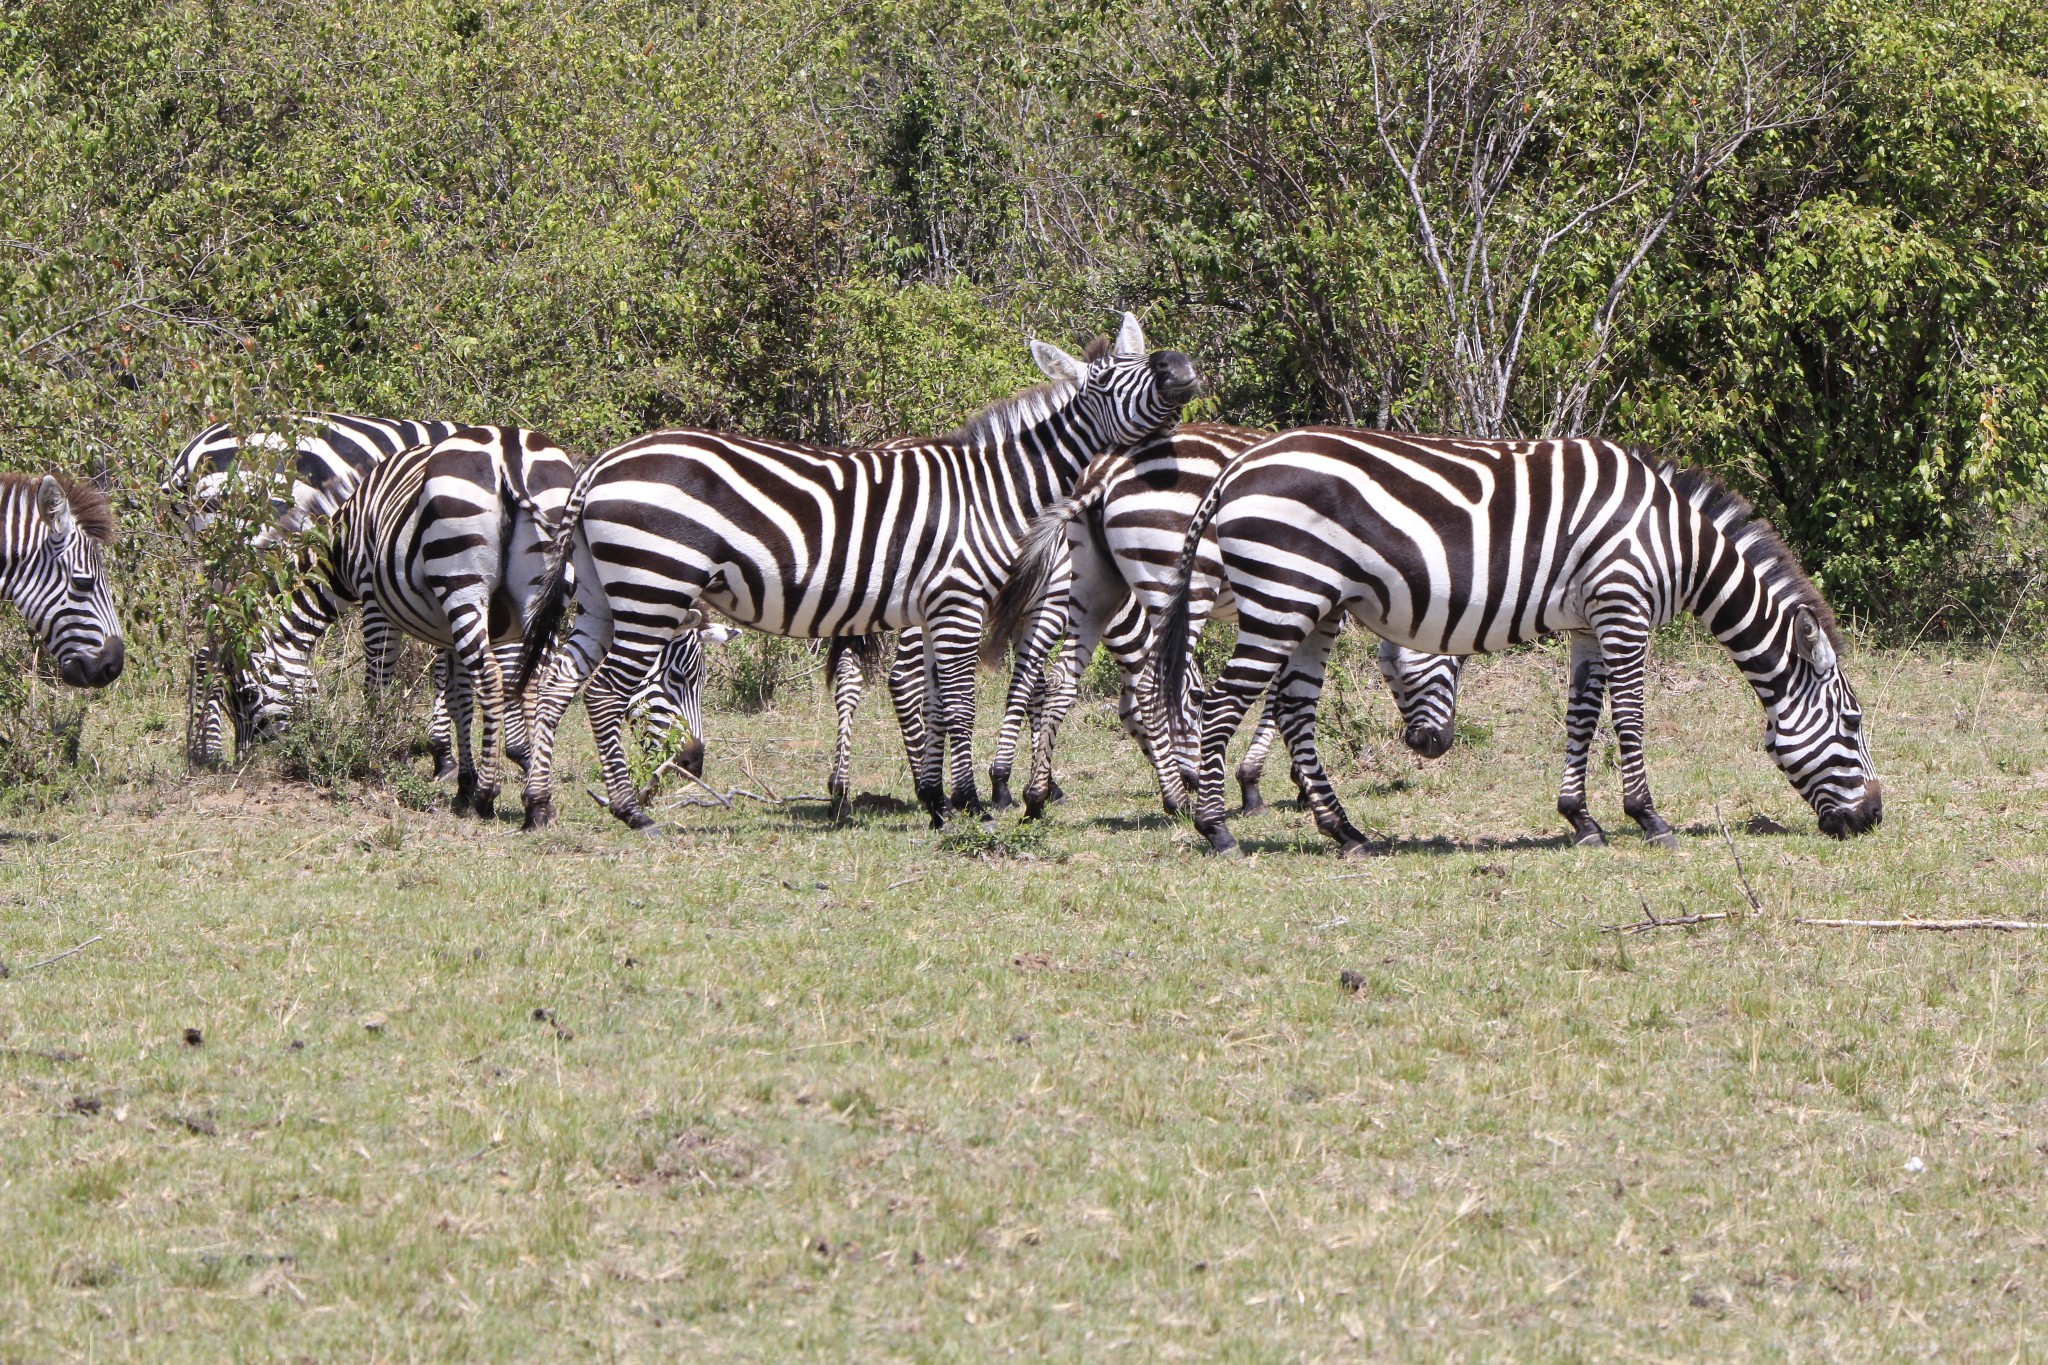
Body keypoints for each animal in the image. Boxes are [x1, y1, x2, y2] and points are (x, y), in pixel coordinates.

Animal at [232, 423, 577, 810]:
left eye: (247, 695)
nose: (245, 767)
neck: (341, 543)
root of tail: (509, 450)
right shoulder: (448, 627)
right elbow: (457, 696)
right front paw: (462, 778)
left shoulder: (374, 603)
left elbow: (377, 686)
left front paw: (372, 751)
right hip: (537, 592)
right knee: (536, 681)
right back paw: (537, 797)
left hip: (462, 580)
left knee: (491, 677)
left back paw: (487, 796)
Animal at [509, 315, 1196, 834]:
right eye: (1105, 380)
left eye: (1141, 359)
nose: (1180, 367)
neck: (994, 491)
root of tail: (601, 464)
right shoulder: (960, 600)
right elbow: (960, 704)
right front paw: (974, 804)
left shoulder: (931, 609)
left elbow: (934, 703)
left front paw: (939, 803)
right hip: (653, 586)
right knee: (603, 691)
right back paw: (630, 813)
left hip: (604, 591)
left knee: (557, 682)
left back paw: (539, 806)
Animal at [978, 421, 1474, 818]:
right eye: (1453, 667)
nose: (1437, 745)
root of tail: (1106, 469)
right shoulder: (1304, 602)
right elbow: (1280, 692)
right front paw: (1264, 783)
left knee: (1050, 679)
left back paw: (1030, 791)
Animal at [1163, 429, 1875, 855]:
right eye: (1853, 723)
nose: (1873, 819)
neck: (1678, 544)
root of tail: (1236, 468)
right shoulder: (1624, 604)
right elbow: (1631, 717)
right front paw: (1649, 819)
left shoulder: (1589, 621)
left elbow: (1583, 718)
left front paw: (1580, 818)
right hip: (1282, 595)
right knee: (1221, 703)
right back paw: (1216, 828)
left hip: (1315, 607)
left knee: (1294, 710)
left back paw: (1346, 832)